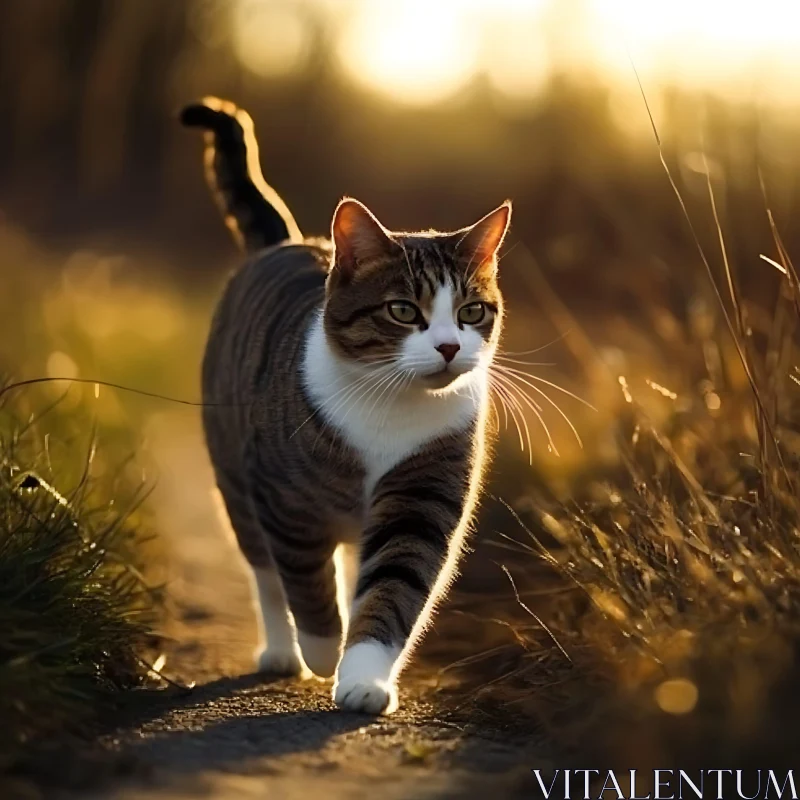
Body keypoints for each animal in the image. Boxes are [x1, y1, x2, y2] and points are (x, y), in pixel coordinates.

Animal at [181, 97, 510, 716]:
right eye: (403, 311)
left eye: (472, 312)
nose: (449, 347)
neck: (390, 401)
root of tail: (286, 242)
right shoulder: (283, 501)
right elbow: (305, 586)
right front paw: (322, 650)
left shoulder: (422, 489)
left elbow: (394, 583)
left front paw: (363, 678)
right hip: (234, 475)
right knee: (264, 571)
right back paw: (281, 652)